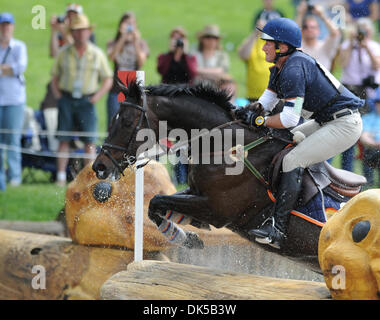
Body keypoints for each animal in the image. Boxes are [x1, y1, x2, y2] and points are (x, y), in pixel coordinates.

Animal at [91, 80, 366, 272]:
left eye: (127, 122)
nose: (99, 167)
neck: (224, 145)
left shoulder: (217, 209)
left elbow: (157, 201)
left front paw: (187, 237)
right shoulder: (196, 194)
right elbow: (154, 206)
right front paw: (188, 237)